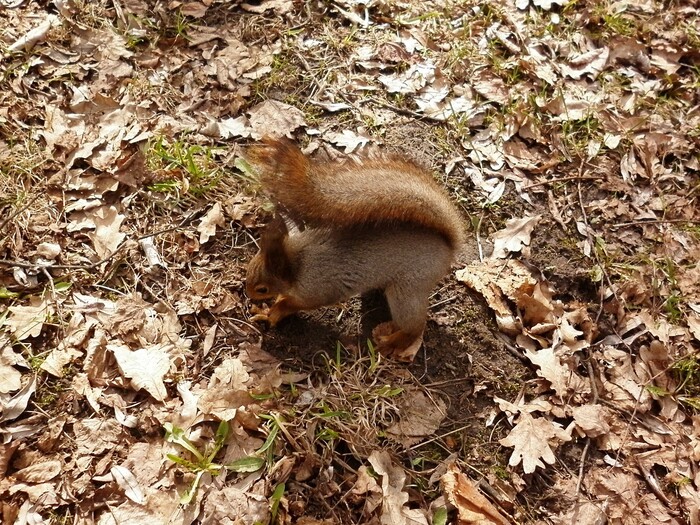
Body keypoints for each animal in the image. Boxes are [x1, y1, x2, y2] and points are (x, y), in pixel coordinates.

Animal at [245, 138, 466, 361]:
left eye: (262, 289)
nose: (247, 294)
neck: (296, 261)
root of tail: (447, 247)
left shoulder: (317, 290)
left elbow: (295, 304)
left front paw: (273, 312)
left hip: (408, 289)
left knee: (415, 327)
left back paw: (391, 342)